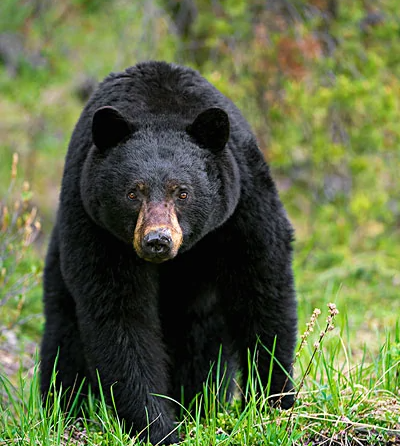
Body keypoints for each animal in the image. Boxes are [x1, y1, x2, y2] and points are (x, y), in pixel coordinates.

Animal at [41, 61, 296, 444]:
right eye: (133, 193)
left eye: (183, 192)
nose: (157, 240)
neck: (158, 110)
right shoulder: (96, 227)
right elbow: (120, 317)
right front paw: (159, 427)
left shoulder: (243, 209)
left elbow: (262, 290)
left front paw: (274, 403)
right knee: (63, 337)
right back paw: (66, 409)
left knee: (202, 345)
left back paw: (200, 404)